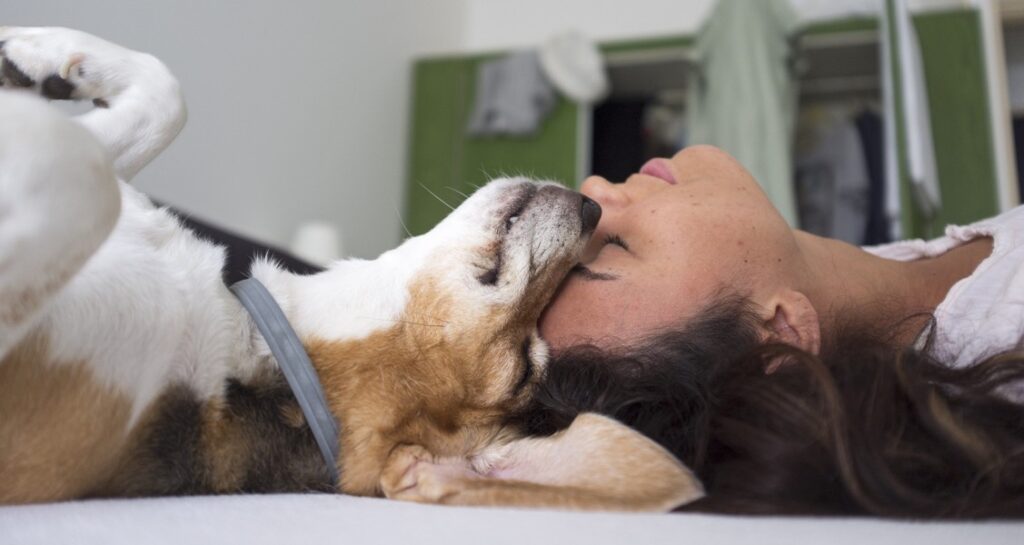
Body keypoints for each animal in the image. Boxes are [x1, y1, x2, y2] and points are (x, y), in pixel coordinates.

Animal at [0, 25, 704, 510]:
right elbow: (164, 96)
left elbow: (80, 168)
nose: (593, 208)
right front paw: (40, 54)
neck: (261, 338)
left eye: (526, 366)